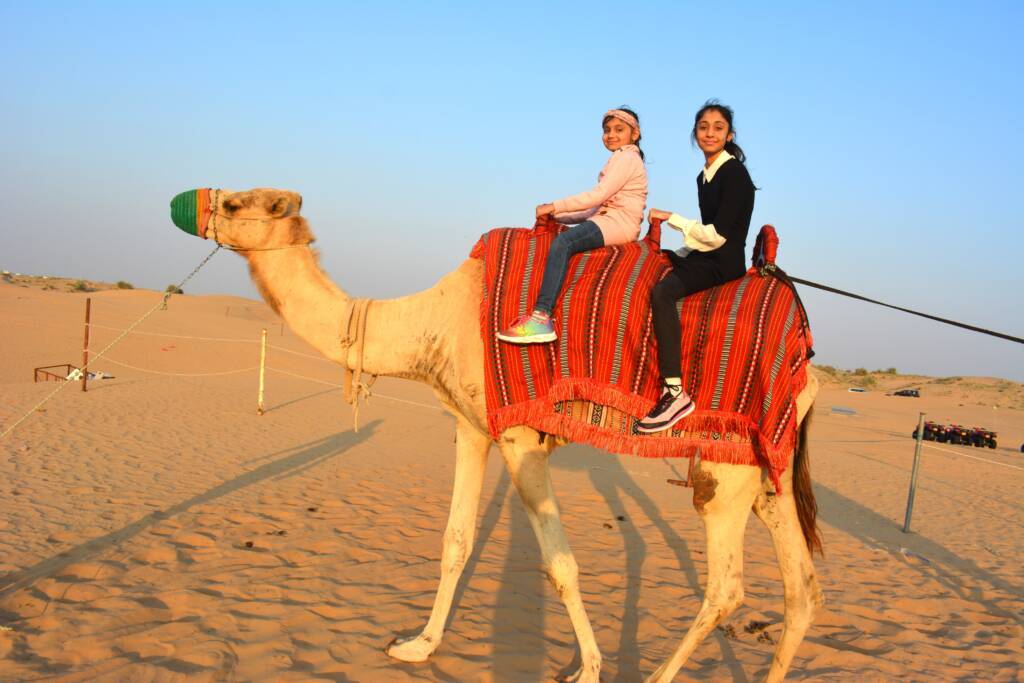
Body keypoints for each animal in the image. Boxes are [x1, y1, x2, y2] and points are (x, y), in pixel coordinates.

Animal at [171, 187, 823, 682]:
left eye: (236, 202)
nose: (185, 202)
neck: (437, 318)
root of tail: (806, 360)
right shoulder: (470, 426)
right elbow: (455, 541)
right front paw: (417, 646)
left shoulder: (519, 439)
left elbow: (561, 565)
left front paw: (587, 670)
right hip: (768, 472)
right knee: (803, 589)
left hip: (723, 467)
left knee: (727, 589)